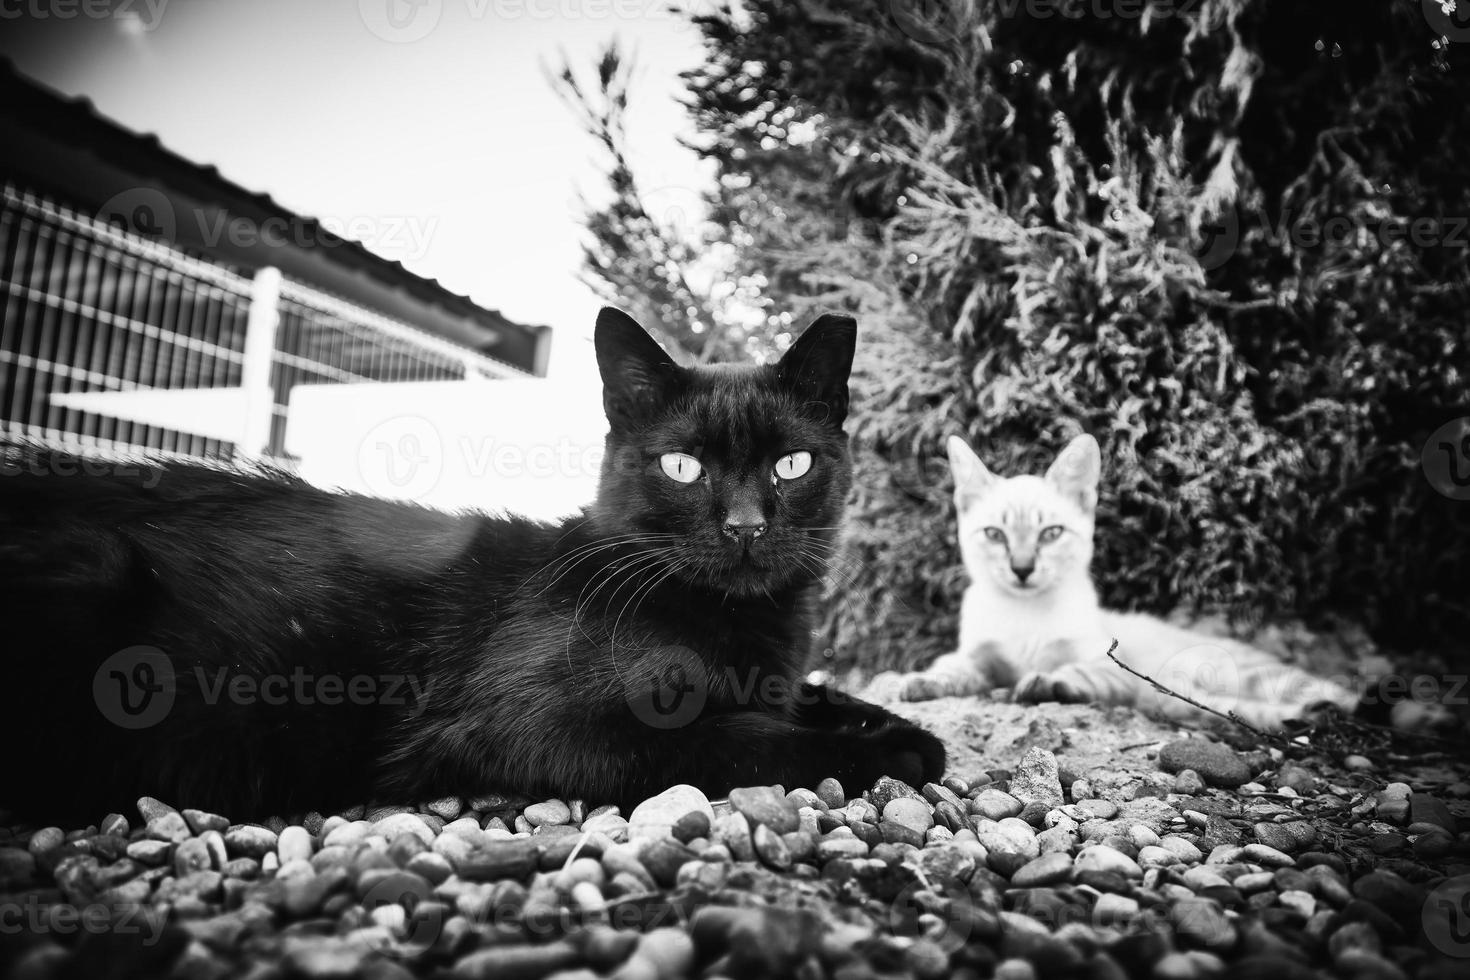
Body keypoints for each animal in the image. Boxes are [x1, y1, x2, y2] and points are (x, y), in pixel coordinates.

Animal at [0, 310, 940, 822]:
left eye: (791, 464)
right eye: (683, 467)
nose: (745, 526)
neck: (741, 624)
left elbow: (810, 696)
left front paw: (894, 724)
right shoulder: (540, 725)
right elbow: (744, 739)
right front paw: (896, 751)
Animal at [870, 434, 1364, 728]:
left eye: (1050, 534)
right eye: (995, 535)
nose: (1022, 569)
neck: (1026, 614)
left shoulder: (1110, 670)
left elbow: (1072, 673)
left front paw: (1042, 682)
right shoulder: (981, 657)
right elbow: (952, 669)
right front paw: (918, 682)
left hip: (1233, 676)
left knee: (1335, 693)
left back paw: (1332, 709)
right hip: (1183, 699)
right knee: (1238, 710)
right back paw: (1304, 718)